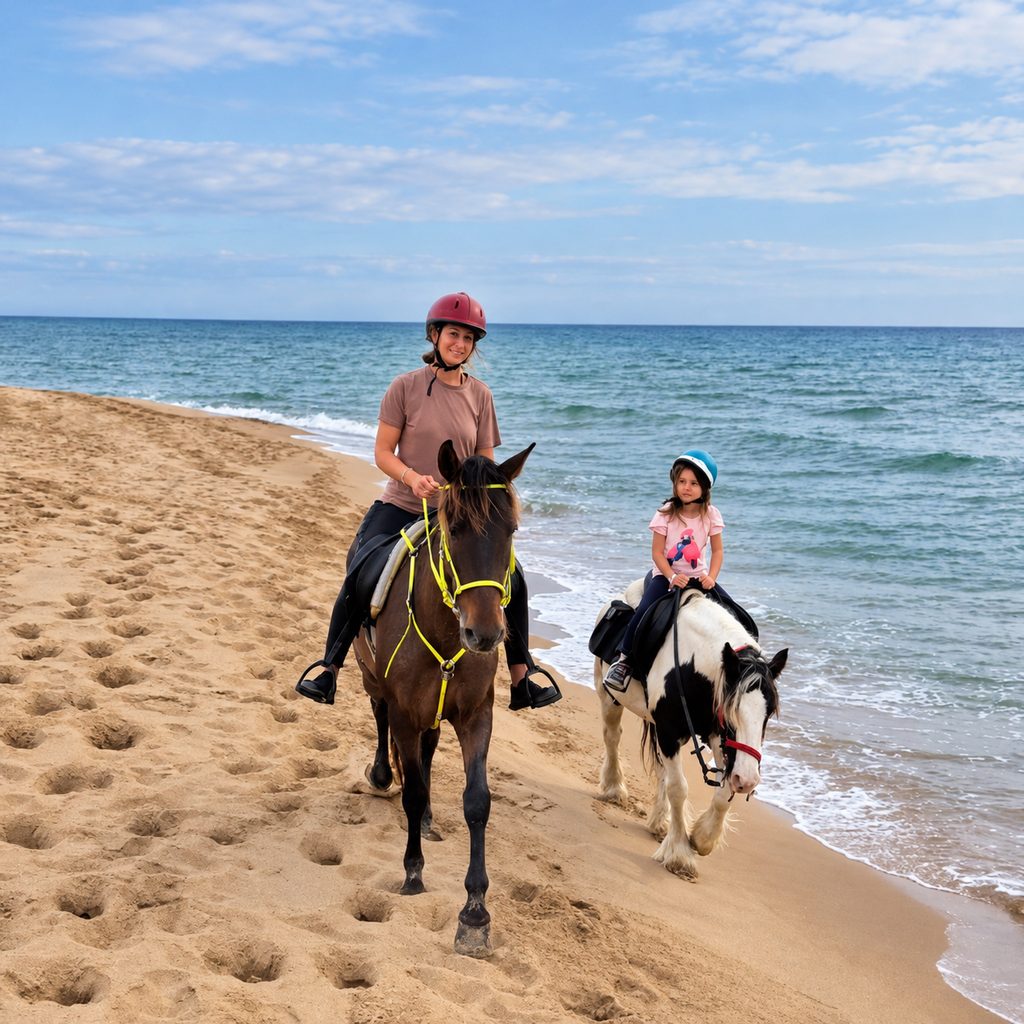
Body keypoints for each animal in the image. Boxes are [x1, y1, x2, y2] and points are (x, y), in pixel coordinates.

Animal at [351, 439, 534, 957]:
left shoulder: (475, 716)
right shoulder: (405, 713)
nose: (486, 633)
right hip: (373, 682)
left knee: (429, 753)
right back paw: (381, 774)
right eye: (455, 529)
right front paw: (413, 874)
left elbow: (477, 802)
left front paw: (474, 913)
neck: (445, 629)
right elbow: (411, 790)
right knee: (381, 722)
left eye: (511, 529)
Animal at [594, 581, 787, 879]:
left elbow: (722, 794)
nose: (748, 780)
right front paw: (679, 854)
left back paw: (660, 821)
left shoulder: (717, 736)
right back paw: (615, 789)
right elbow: (679, 789)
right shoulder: (671, 732)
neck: (691, 665)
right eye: (733, 712)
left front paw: (702, 838)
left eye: (767, 714)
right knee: (612, 738)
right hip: (609, 699)